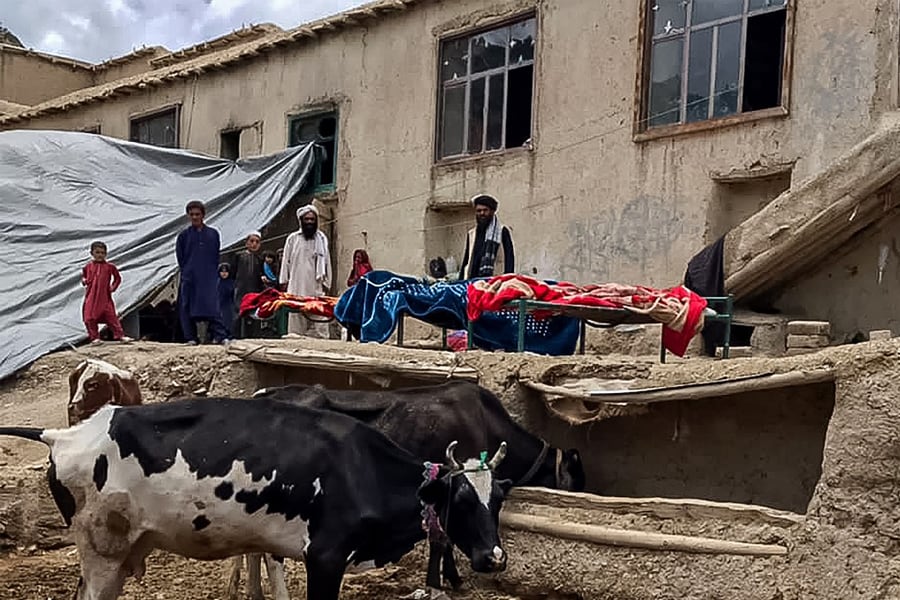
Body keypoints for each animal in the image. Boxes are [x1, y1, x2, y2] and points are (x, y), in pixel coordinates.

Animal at [0, 396, 510, 596]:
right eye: (462, 499)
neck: (360, 468)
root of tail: (64, 435)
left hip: (119, 553)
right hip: (102, 553)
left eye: (497, 501)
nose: (495, 557)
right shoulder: (325, 557)